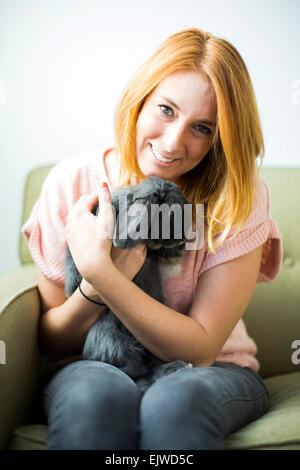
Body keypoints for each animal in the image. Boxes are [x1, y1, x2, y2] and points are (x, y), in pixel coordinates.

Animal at [64, 174, 193, 392]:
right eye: (170, 214)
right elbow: (70, 256)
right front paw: (72, 286)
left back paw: (176, 367)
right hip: (108, 335)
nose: (182, 241)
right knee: (136, 369)